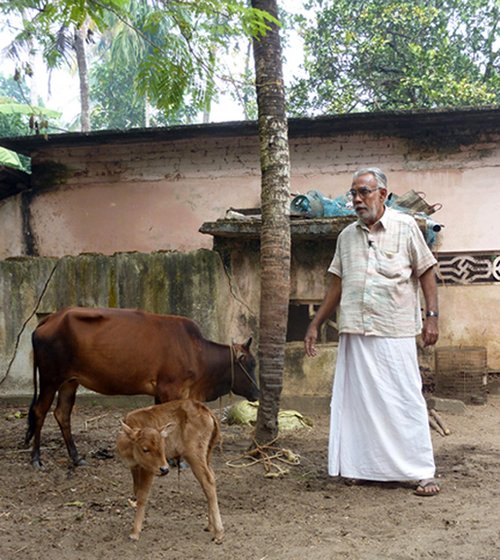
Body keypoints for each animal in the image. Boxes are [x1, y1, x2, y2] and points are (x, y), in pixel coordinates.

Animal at [24, 306, 258, 468]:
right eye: (251, 364)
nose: (257, 392)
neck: (196, 352)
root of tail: (50, 319)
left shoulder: (161, 392)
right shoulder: (171, 389)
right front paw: (177, 460)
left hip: (69, 381)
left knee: (62, 413)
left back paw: (76, 458)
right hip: (50, 378)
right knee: (39, 411)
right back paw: (36, 459)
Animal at [117, 398, 223, 544]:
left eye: (162, 447)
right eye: (145, 449)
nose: (165, 469)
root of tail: (206, 411)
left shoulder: (148, 470)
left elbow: (142, 495)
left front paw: (135, 533)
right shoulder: (134, 468)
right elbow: (136, 491)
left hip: (194, 455)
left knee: (208, 481)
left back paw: (218, 533)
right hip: (207, 454)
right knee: (210, 478)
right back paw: (210, 526)